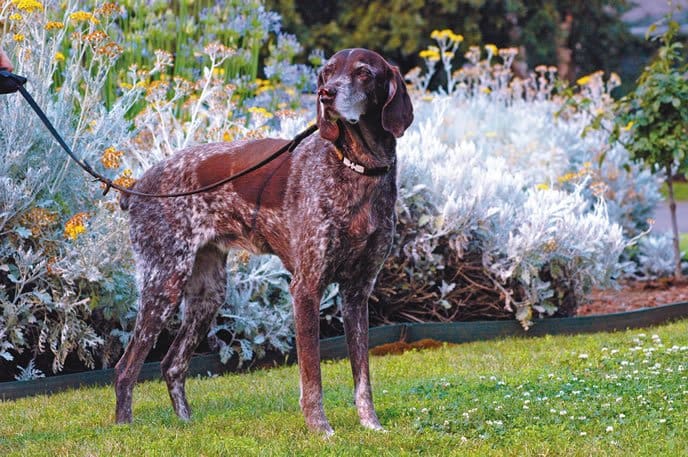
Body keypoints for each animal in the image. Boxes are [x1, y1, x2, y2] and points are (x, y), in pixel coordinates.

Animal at [115, 47, 412, 434]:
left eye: (363, 72)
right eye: (328, 72)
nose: (326, 94)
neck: (357, 167)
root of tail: (136, 186)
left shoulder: (357, 293)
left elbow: (362, 376)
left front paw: (371, 425)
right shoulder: (306, 288)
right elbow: (312, 376)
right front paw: (320, 429)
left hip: (208, 294)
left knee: (172, 364)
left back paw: (186, 424)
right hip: (163, 283)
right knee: (125, 369)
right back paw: (123, 427)